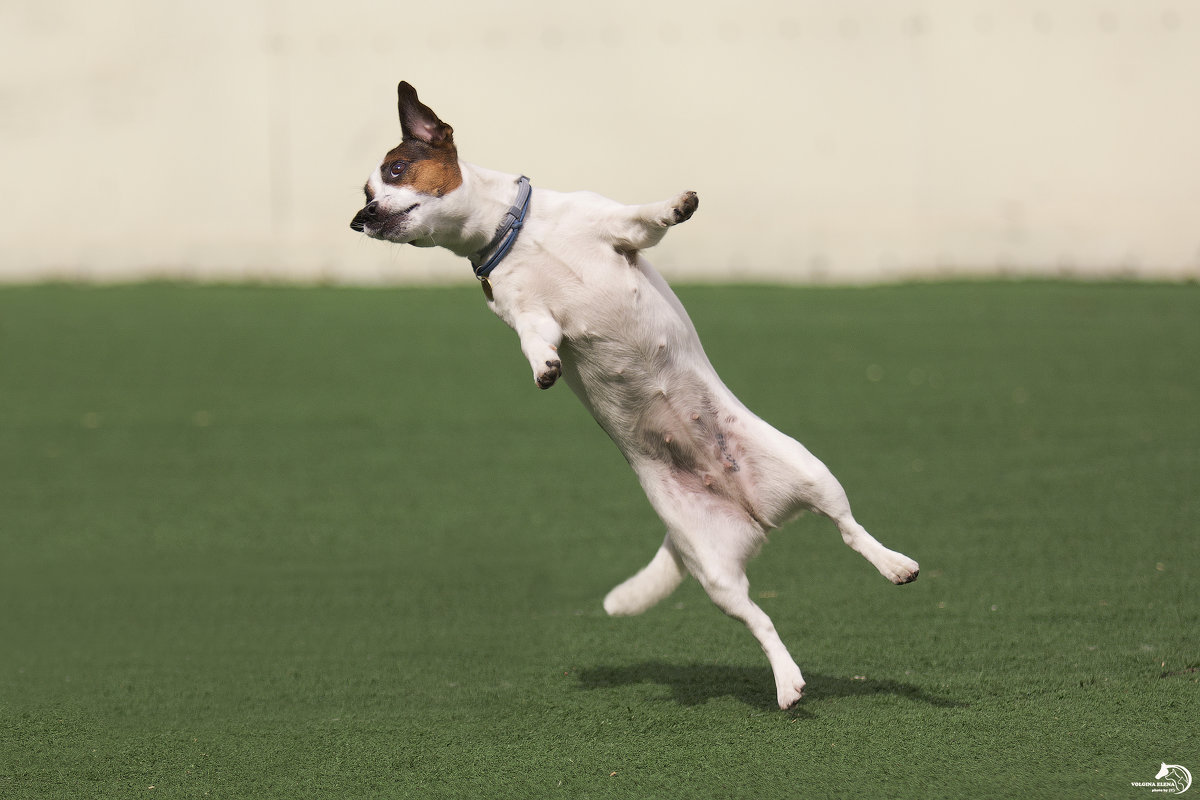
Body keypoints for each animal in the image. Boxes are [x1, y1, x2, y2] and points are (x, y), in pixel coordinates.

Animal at [348, 82, 916, 705]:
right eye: (365, 193)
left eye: (395, 171)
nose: (360, 218)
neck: (515, 237)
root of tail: (754, 509)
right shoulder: (525, 312)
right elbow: (535, 337)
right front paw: (544, 365)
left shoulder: (617, 227)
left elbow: (646, 217)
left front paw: (677, 204)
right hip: (713, 568)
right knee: (761, 618)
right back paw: (787, 681)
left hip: (811, 470)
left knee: (849, 529)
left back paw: (894, 565)